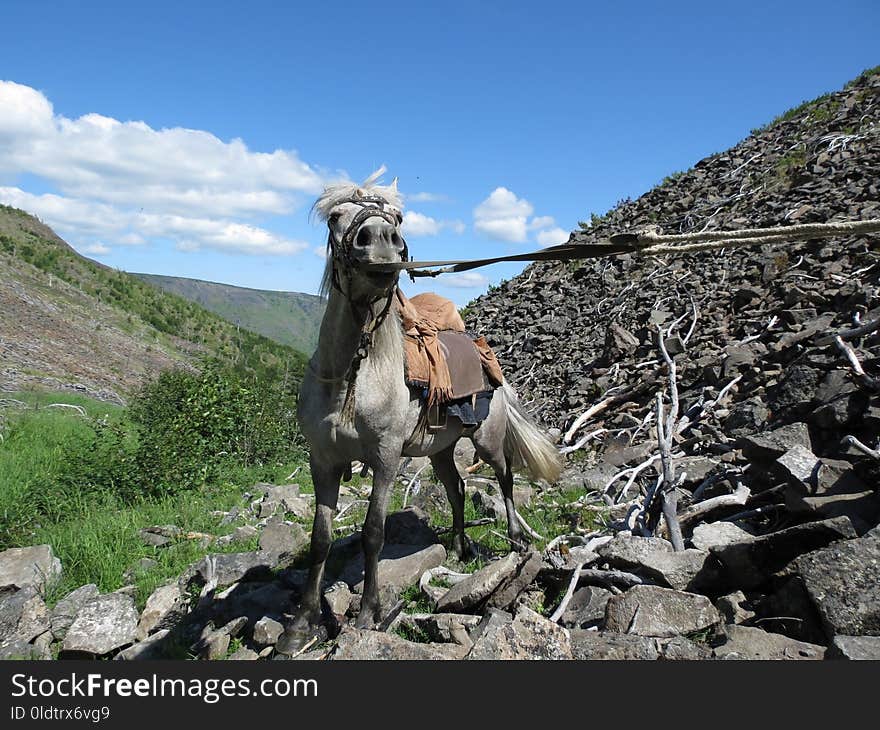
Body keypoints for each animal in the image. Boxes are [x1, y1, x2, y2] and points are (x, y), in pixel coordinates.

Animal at [278, 169, 560, 648]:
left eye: (397, 218)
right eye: (335, 216)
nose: (380, 241)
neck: (353, 377)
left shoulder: (386, 459)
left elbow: (373, 533)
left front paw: (368, 614)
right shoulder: (322, 461)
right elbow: (320, 539)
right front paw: (300, 624)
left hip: (487, 441)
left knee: (504, 478)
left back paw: (516, 540)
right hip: (441, 450)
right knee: (457, 489)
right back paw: (461, 548)